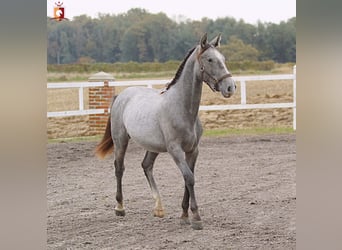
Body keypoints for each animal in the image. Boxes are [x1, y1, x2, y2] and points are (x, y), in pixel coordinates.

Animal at [95, 33, 235, 230]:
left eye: (223, 58)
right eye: (210, 59)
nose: (230, 87)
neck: (182, 108)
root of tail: (121, 96)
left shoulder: (193, 151)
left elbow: (188, 178)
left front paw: (184, 216)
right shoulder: (175, 150)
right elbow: (189, 178)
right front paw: (196, 218)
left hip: (152, 147)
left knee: (146, 166)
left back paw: (159, 208)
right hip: (121, 140)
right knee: (119, 168)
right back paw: (120, 208)